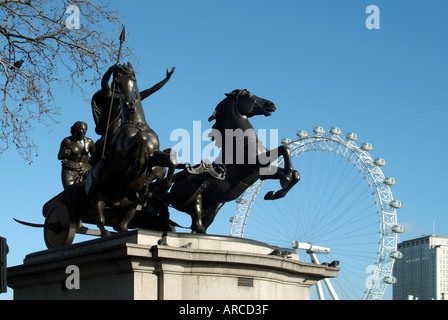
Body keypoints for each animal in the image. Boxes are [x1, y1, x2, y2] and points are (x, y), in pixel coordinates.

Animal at [85, 63, 176, 238]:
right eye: (117, 82)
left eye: (133, 79)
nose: (129, 104)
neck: (137, 124)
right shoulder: (124, 150)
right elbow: (141, 140)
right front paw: (132, 171)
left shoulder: (153, 155)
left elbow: (171, 159)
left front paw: (166, 184)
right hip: (96, 196)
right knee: (100, 219)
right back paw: (106, 233)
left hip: (131, 204)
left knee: (122, 224)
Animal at [163, 89, 300, 232]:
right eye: (248, 95)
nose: (271, 104)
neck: (242, 141)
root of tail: (170, 192)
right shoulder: (257, 162)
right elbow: (284, 148)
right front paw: (286, 178)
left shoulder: (262, 172)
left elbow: (296, 174)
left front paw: (274, 193)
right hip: (195, 200)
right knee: (197, 226)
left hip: (213, 207)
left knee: (198, 227)